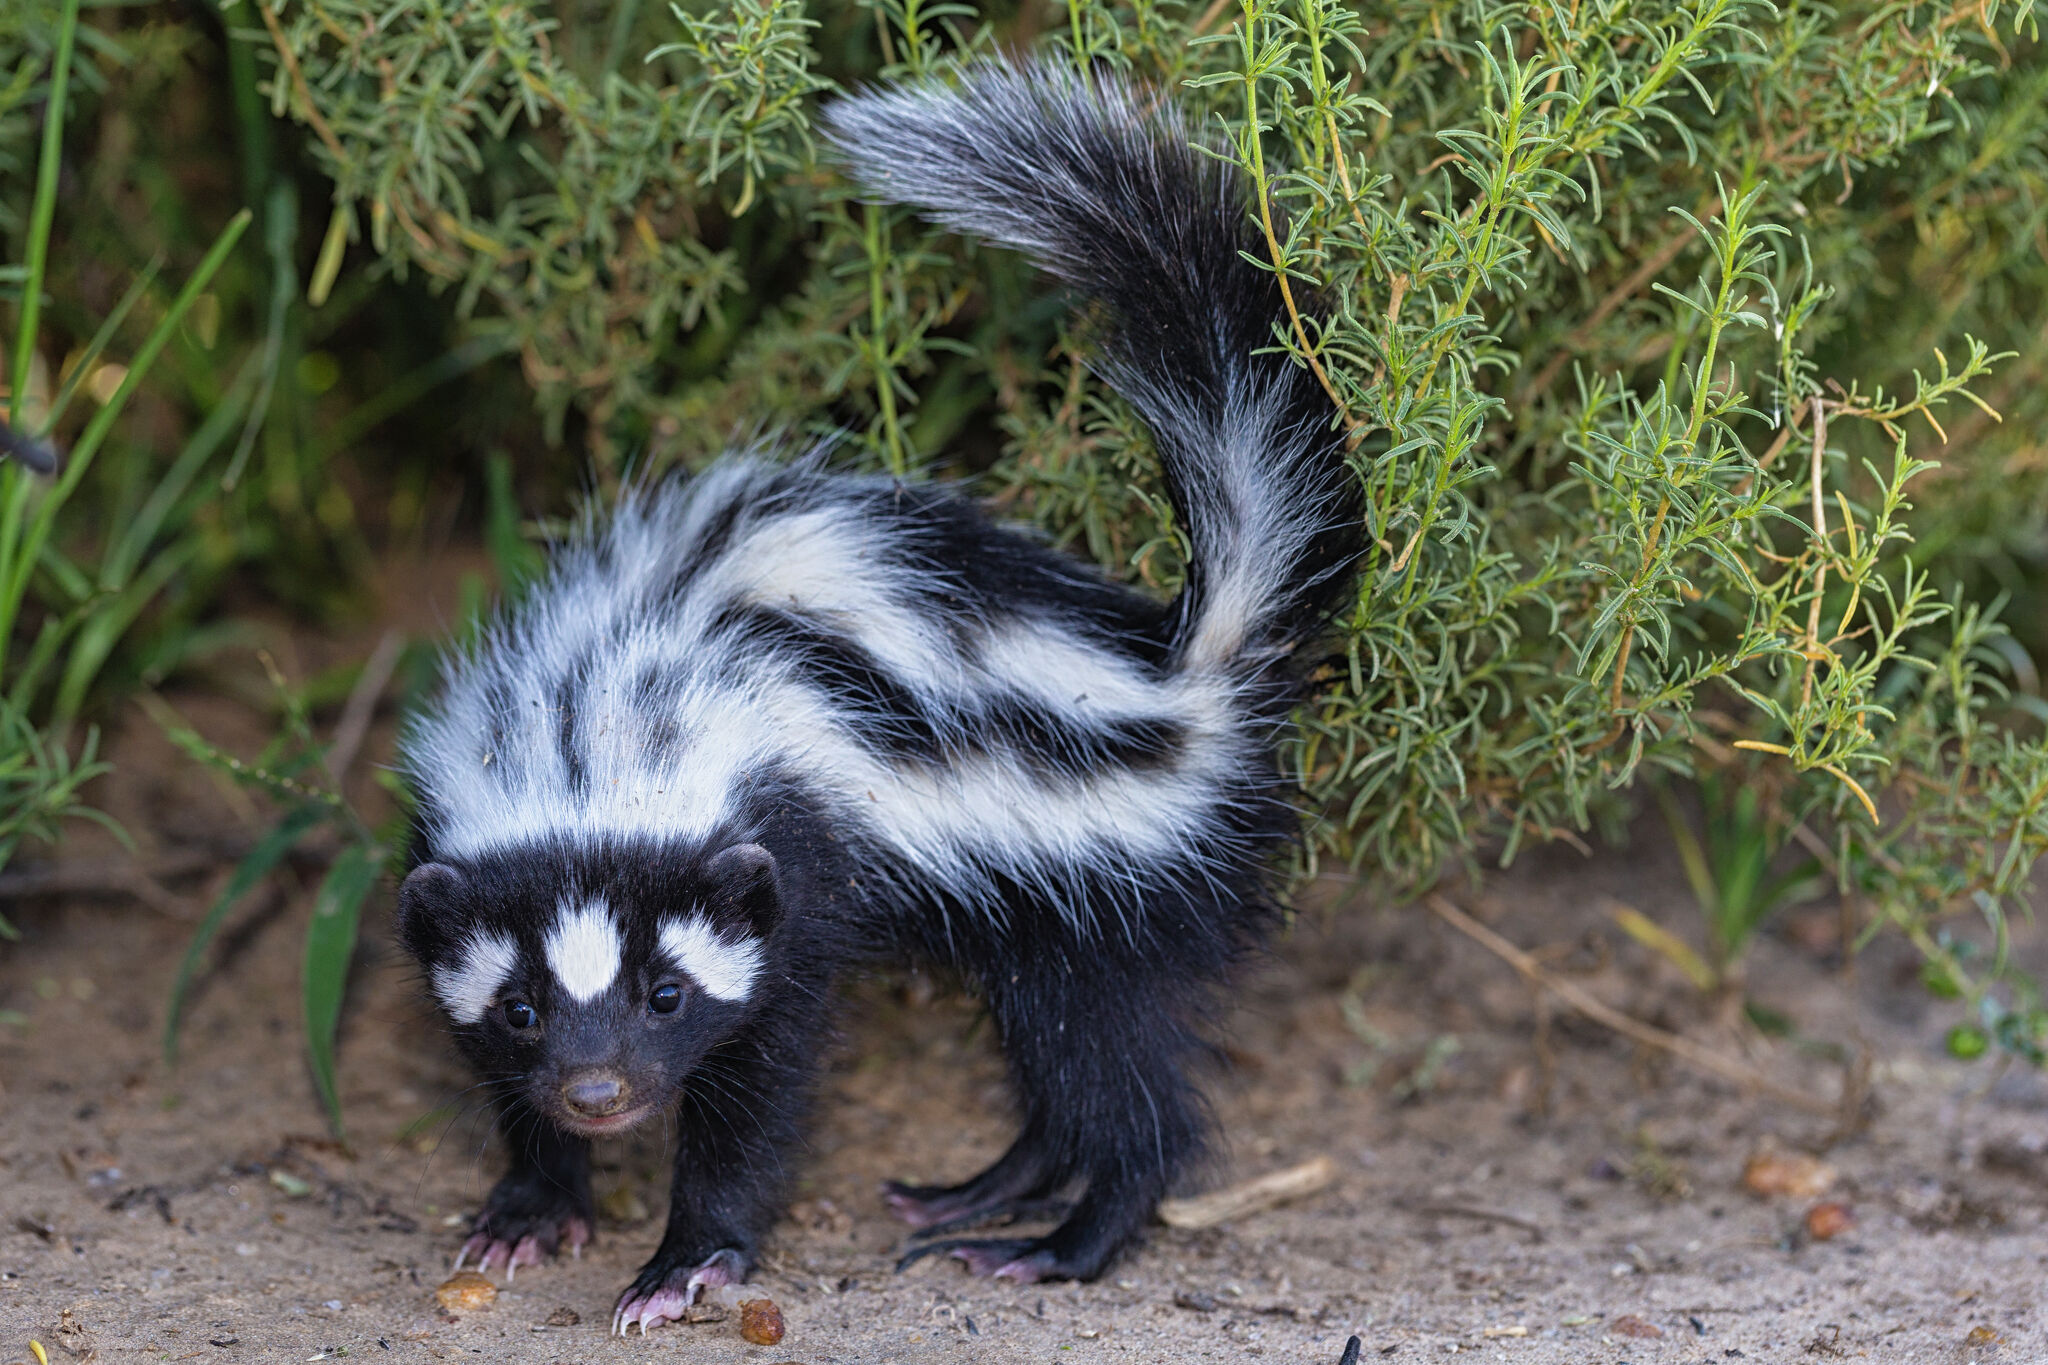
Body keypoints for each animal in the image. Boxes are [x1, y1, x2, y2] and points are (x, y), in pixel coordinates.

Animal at [395, 61, 1359, 1334]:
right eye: (519, 1007)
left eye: (666, 994)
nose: (599, 1093)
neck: (588, 717)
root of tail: (1182, 676)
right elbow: (492, 1066)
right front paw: (532, 1204)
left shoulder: (788, 846)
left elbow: (768, 1074)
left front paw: (684, 1262)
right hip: (1044, 909)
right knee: (1056, 1064)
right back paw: (977, 1190)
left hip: (1110, 883)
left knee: (1121, 1086)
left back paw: (1059, 1242)